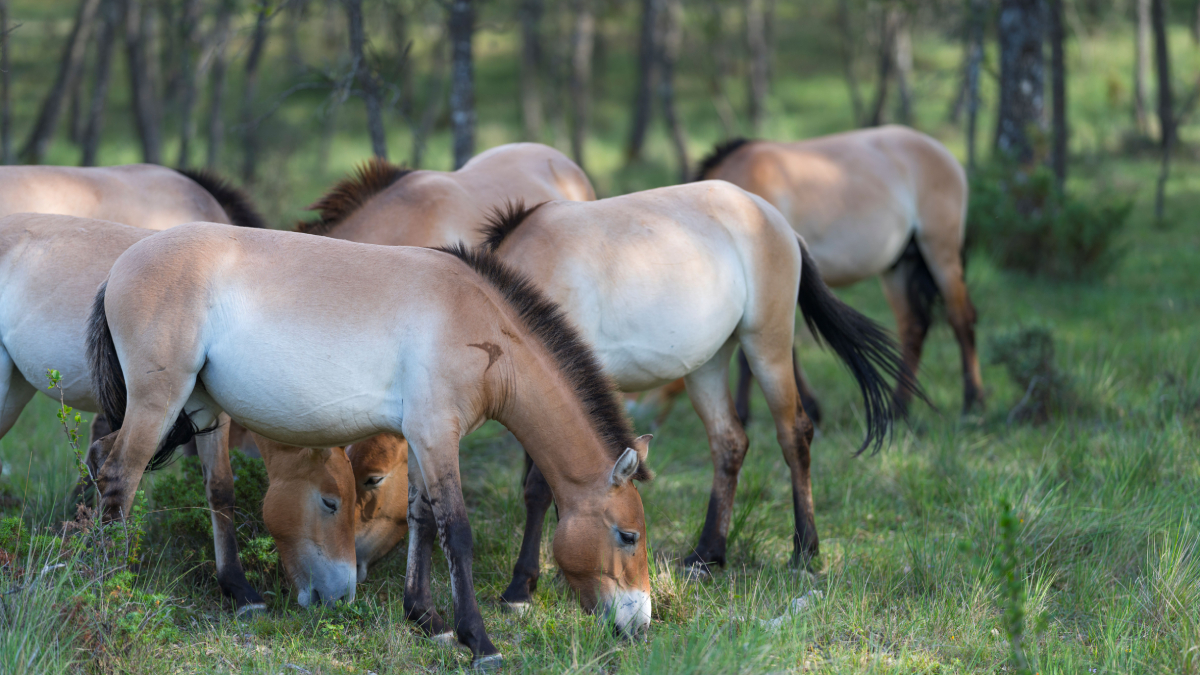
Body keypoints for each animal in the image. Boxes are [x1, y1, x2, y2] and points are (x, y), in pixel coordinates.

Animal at [0, 213, 352, 610]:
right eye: (330, 503)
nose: (342, 595)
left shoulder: (212, 411)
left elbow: (220, 486)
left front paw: (239, 589)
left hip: (16, 389)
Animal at [681, 124, 979, 420]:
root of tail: (941, 151)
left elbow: (756, 355)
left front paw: (747, 413)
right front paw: (809, 407)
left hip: (941, 253)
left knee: (960, 320)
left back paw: (973, 403)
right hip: (898, 265)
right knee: (913, 327)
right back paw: (898, 408)